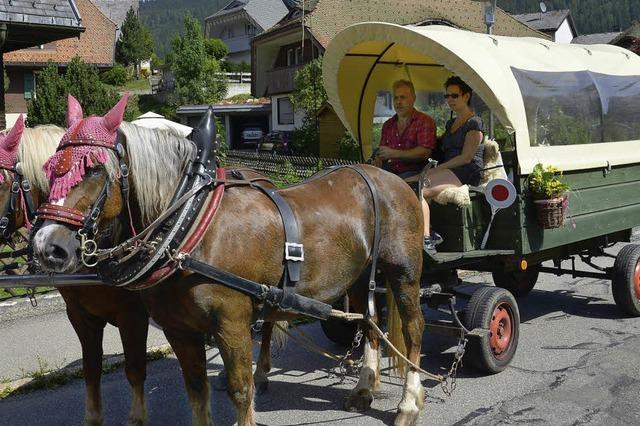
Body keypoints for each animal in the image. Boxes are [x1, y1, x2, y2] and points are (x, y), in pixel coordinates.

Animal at [32, 96, 428, 426]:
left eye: (93, 169)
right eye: (50, 169)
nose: (46, 246)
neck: (190, 225)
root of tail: (387, 177)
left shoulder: (232, 325)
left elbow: (241, 390)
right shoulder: (180, 330)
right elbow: (196, 391)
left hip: (404, 272)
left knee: (413, 328)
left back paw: (409, 402)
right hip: (360, 276)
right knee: (370, 323)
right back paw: (364, 388)